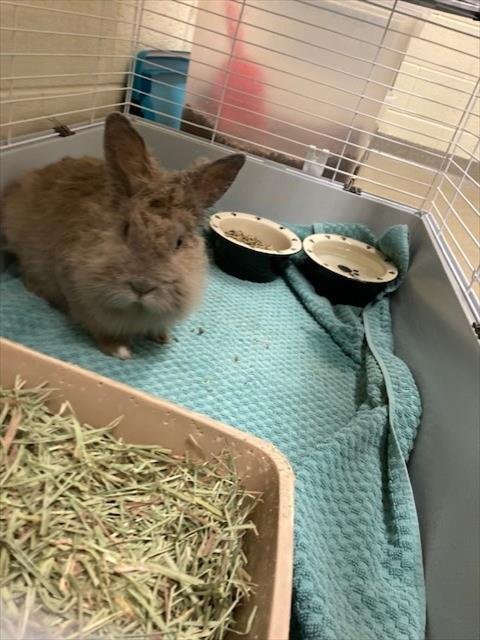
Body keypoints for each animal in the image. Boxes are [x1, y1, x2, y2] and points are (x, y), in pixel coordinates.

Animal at [1, 113, 245, 359]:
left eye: (179, 242)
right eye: (126, 229)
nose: (142, 287)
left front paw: (162, 338)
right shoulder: (84, 304)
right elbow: (100, 331)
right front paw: (121, 351)